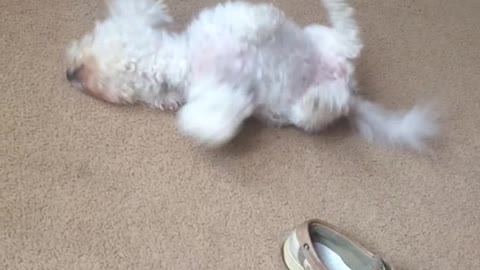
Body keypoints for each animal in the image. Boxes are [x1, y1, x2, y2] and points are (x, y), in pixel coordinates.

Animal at [64, 0, 438, 149]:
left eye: (90, 37)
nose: (68, 73)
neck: (184, 60)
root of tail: (347, 85)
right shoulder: (211, 94)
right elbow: (210, 117)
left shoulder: (226, 18)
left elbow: (251, 17)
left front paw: (263, 22)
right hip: (307, 115)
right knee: (321, 102)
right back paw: (318, 99)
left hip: (321, 38)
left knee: (350, 38)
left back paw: (336, 7)